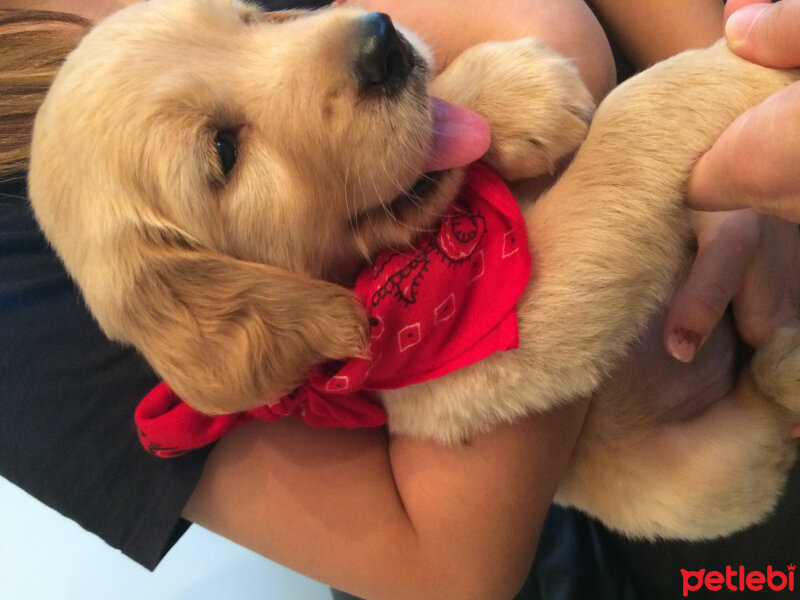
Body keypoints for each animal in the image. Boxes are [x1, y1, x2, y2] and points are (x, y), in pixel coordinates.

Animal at [28, 0, 796, 540]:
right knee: (765, 438)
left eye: (251, 17)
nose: (382, 42)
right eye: (222, 151)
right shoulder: (484, 353)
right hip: (695, 480)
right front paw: (738, 69)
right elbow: (628, 133)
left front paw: (519, 89)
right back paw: (785, 366)